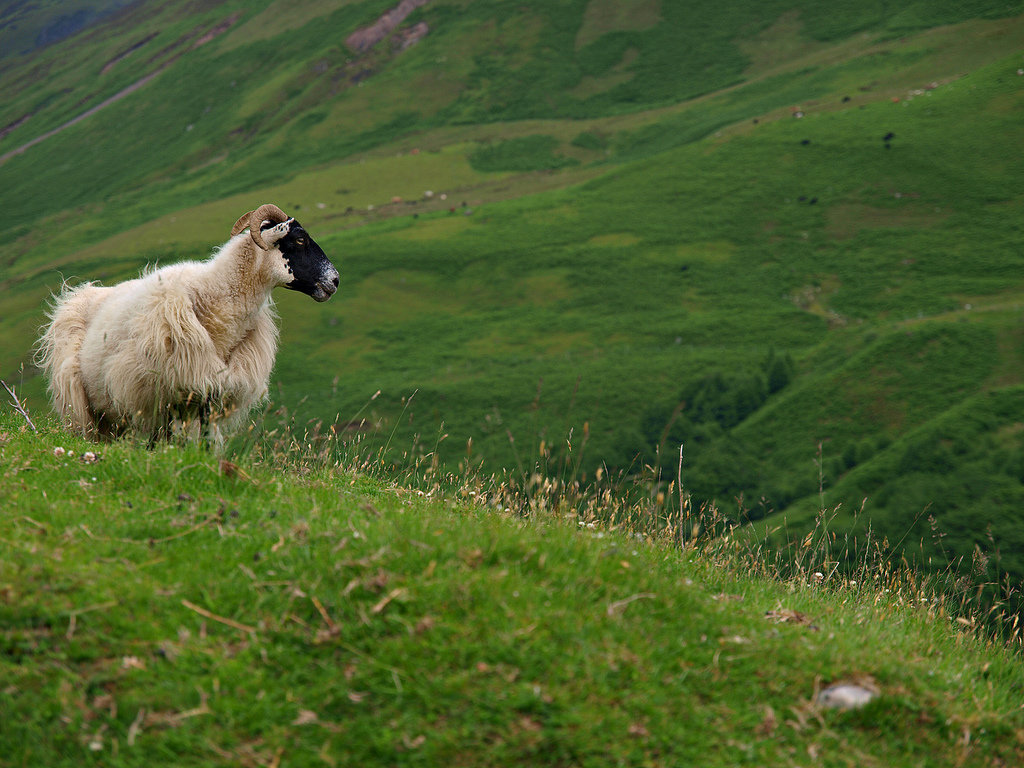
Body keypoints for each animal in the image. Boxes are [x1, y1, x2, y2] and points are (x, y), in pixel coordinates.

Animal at [35, 203, 339, 444]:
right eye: (299, 240)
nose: (335, 280)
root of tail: (77, 294)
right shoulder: (165, 392)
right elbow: (164, 440)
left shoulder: (210, 391)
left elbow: (204, 439)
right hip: (84, 403)